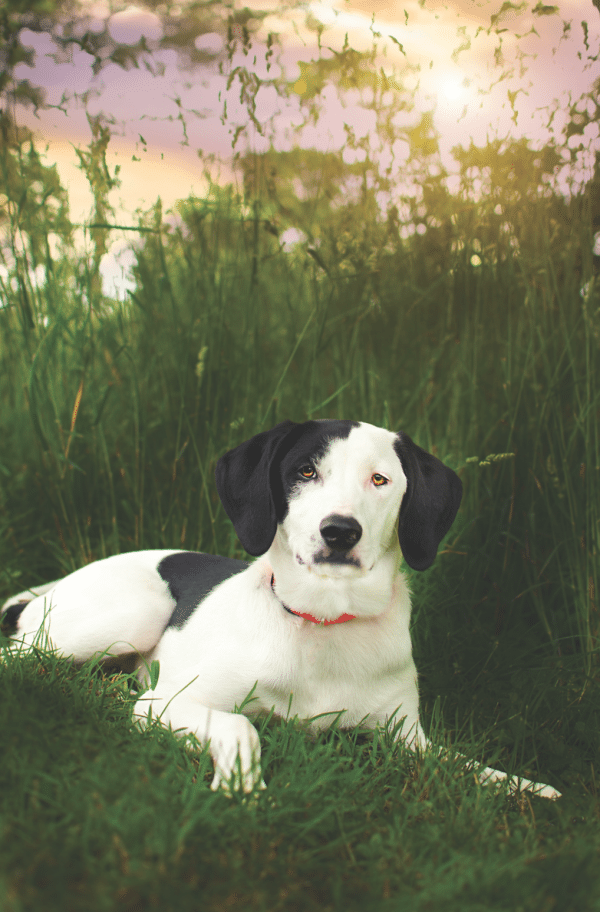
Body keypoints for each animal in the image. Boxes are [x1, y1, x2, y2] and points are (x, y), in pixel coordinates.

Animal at [1, 418, 564, 800]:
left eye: (380, 480)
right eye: (305, 471)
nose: (340, 532)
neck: (324, 622)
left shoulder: (407, 739)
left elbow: (468, 767)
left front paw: (528, 788)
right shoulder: (163, 705)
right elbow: (240, 725)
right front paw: (242, 782)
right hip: (130, 613)